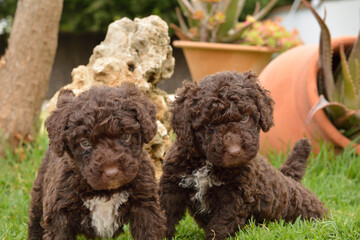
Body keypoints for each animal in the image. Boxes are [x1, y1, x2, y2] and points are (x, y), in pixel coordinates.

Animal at [28, 83, 166, 240]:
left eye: (125, 136)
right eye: (85, 143)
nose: (112, 173)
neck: (106, 191)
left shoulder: (145, 204)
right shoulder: (59, 213)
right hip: (39, 195)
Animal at [159, 71, 328, 240]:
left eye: (245, 117)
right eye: (208, 124)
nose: (234, 151)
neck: (207, 163)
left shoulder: (234, 195)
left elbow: (222, 223)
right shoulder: (172, 185)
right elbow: (164, 214)